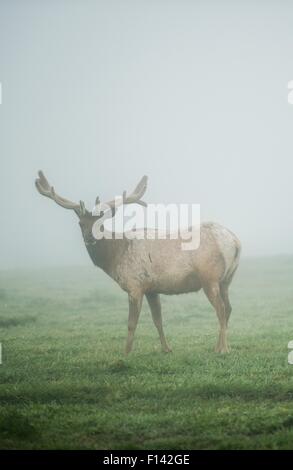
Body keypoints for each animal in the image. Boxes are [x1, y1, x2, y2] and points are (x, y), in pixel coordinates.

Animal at [34, 172, 240, 352]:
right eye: (80, 224)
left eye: (100, 224)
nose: (90, 238)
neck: (115, 257)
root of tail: (236, 242)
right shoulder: (151, 288)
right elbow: (158, 319)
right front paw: (167, 349)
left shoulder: (134, 284)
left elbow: (131, 323)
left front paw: (125, 353)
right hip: (226, 280)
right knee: (229, 308)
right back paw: (218, 346)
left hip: (209, 277)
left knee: (221, 309)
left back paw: (223, 349)